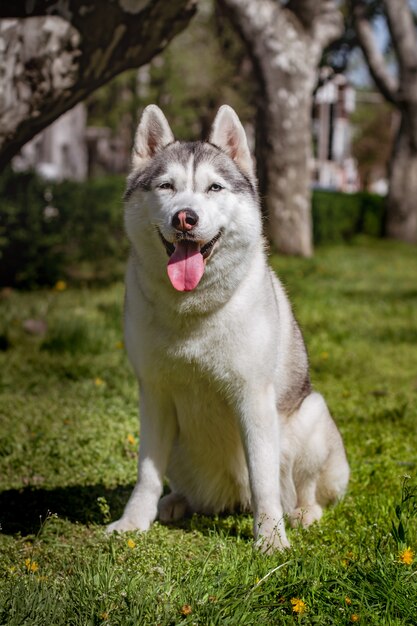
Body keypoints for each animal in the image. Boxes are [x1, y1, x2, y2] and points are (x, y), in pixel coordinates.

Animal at [107, 105, 348, 548]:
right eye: (166, 186)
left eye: (214, 188)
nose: (185, 217)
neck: (192, 311)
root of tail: (232, 499)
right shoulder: (154, 395)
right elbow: (146, 473)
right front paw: (133, 522)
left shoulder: (253, 398)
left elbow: (264, 480)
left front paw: (270, 539)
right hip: (180, 448)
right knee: (184, 486)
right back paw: (174, 502)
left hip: (313, 417)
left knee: (300, 489)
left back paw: (303, 513)